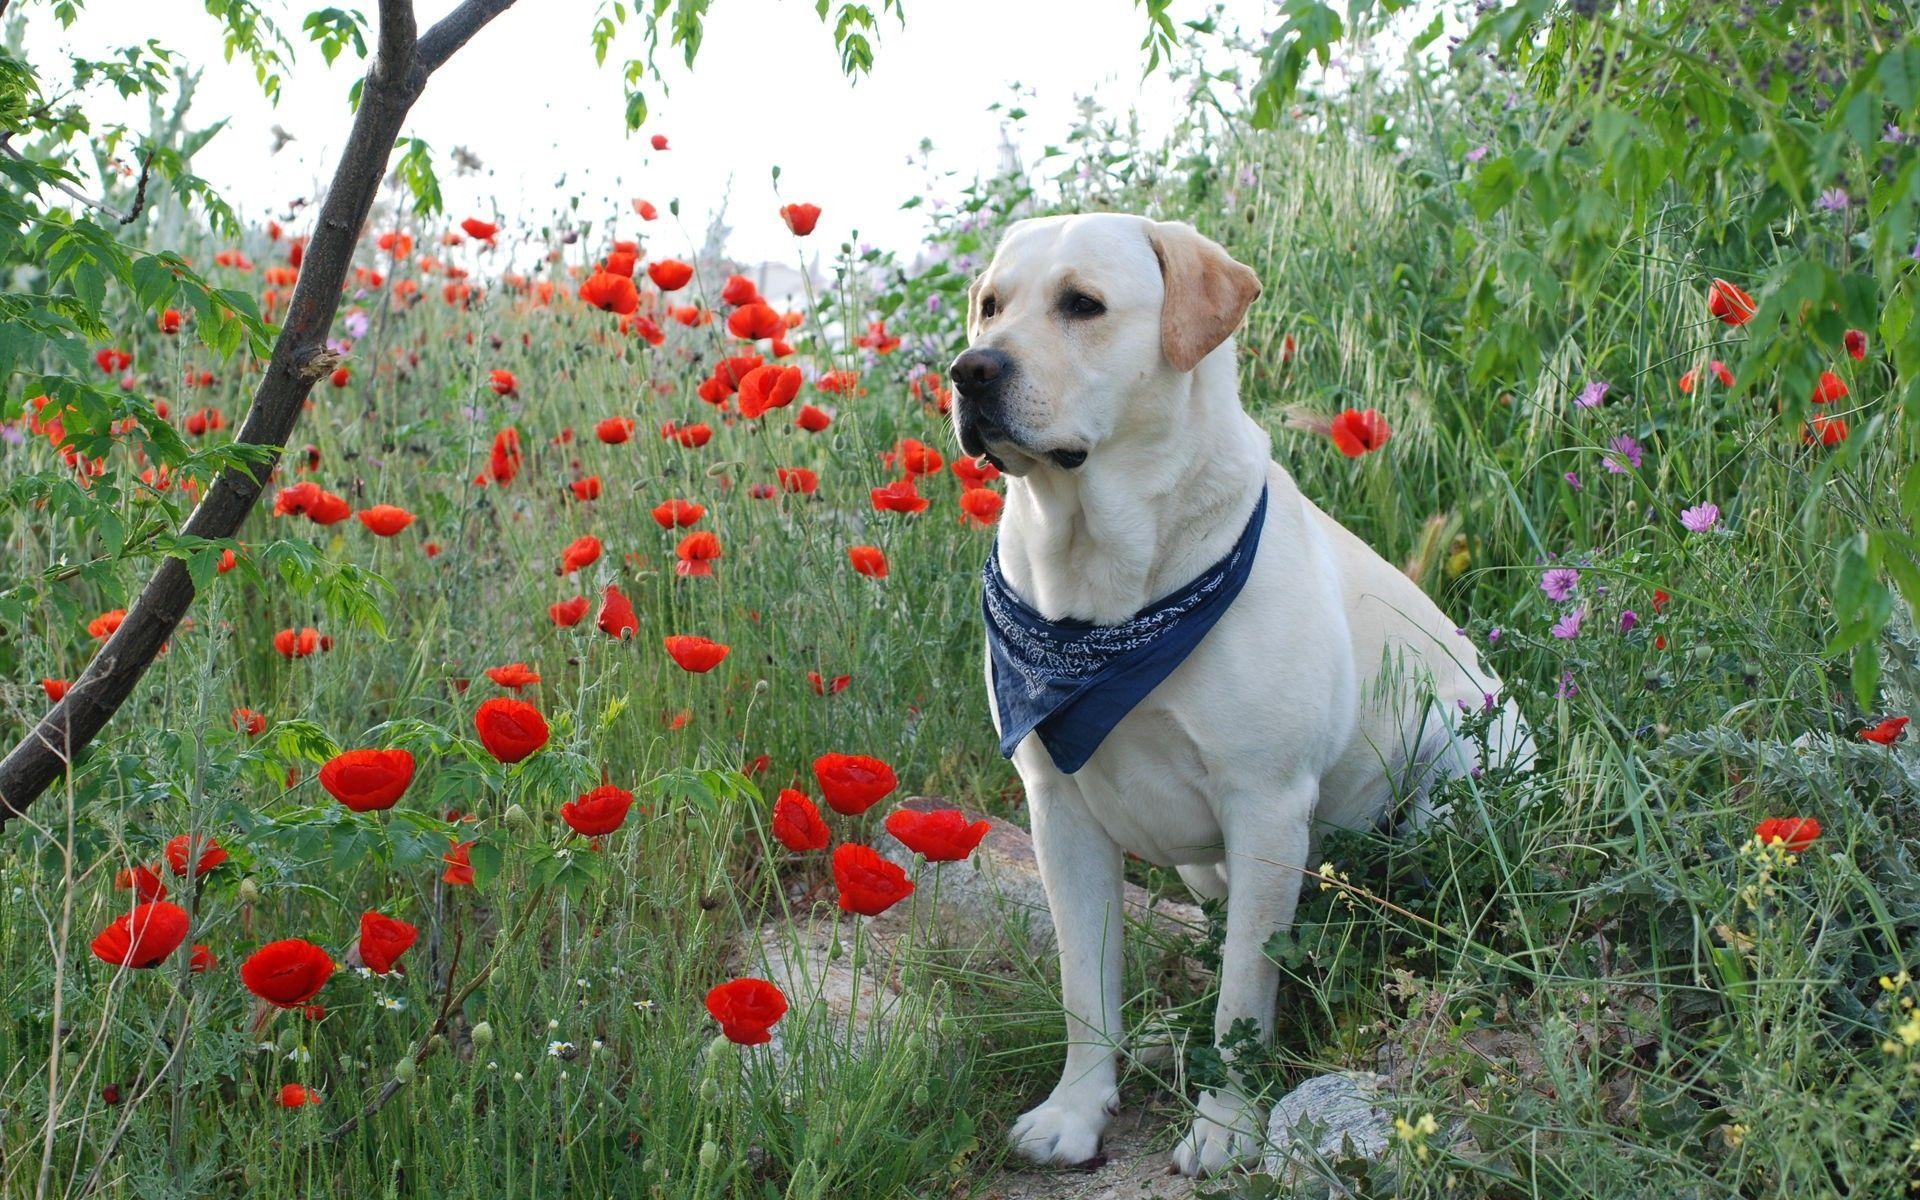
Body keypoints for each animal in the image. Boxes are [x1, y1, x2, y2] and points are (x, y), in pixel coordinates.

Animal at [948, 210, 1528, 1175]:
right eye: (991, 305)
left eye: (1082, 304)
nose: (969, 370)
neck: (1106, 594)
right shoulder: (1058, 809)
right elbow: (1084, 984)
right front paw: (1077, 1110)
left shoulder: (1265, 805)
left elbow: (1244, 998)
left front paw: (1226, 1126)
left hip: (1451, 793)